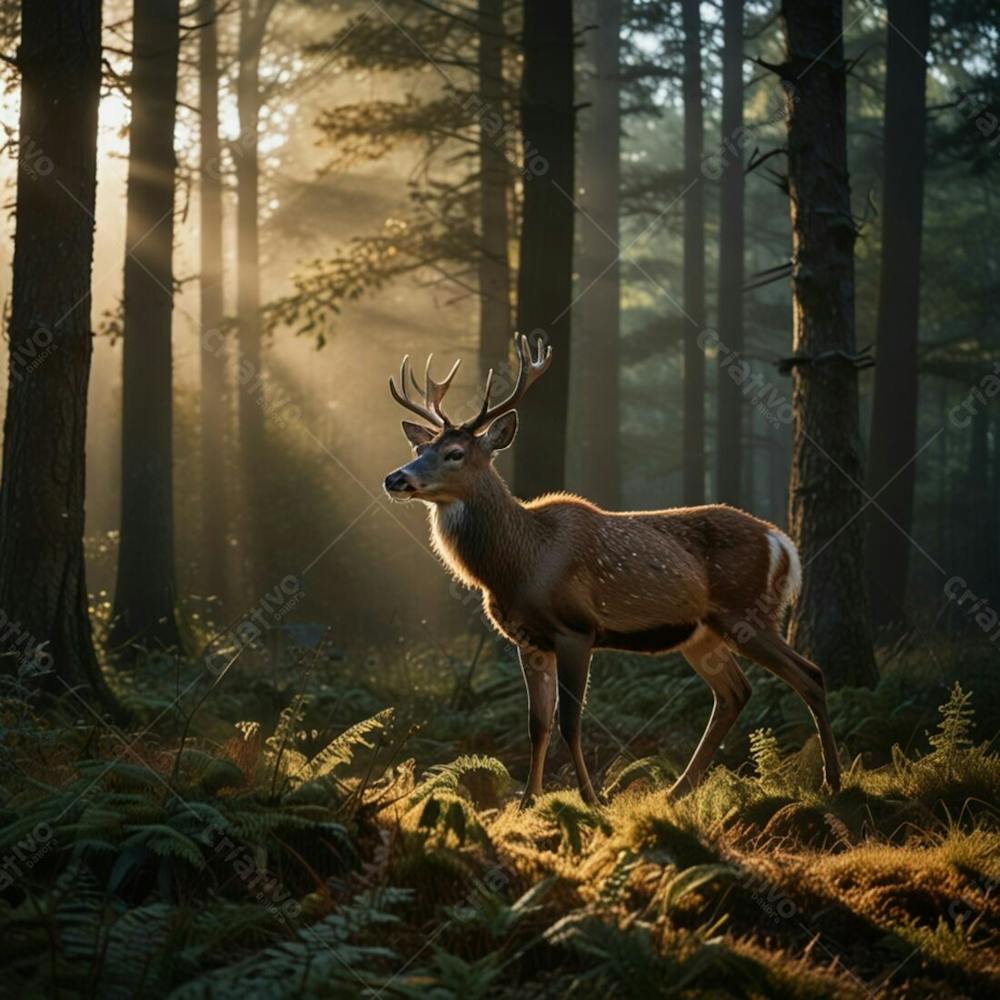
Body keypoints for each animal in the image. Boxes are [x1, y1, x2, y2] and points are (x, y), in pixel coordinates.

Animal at [384, 334, 844, 804]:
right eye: (419, 448)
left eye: (455, 453)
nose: (395, 479)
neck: (519, 565)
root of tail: (782, 543)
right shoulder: (528, 640)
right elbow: (537, 724)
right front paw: (528, 801)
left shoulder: (576, 628)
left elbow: (570, 721)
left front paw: (591, 799)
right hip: (702, 633)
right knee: (735, 693)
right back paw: (677, 790)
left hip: (746, 612)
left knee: (810, 674)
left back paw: (832, 780)